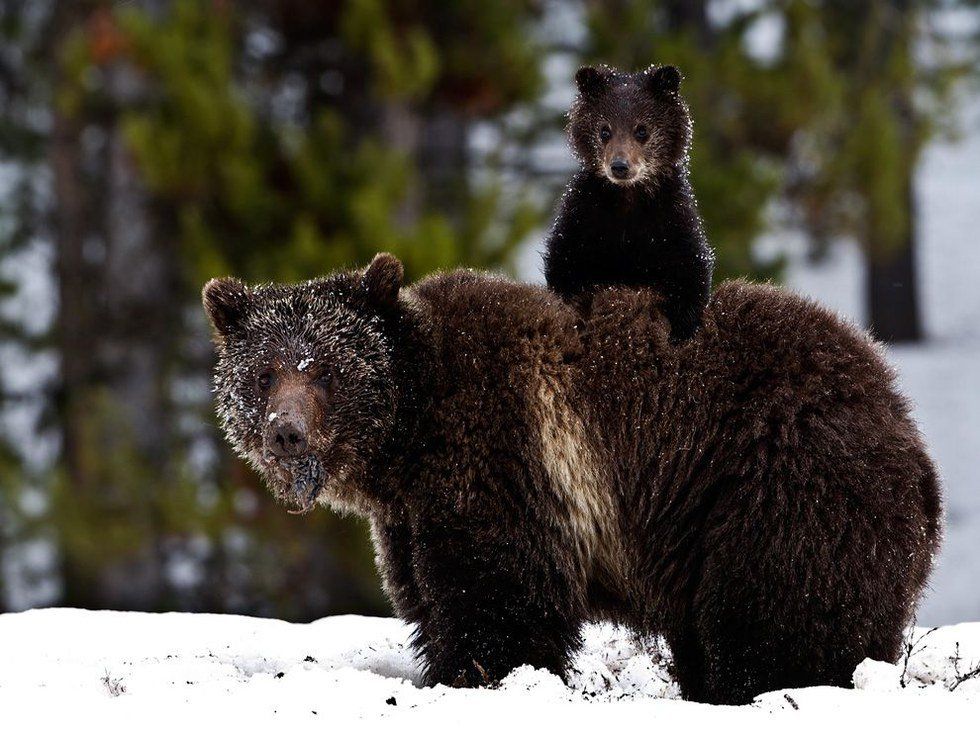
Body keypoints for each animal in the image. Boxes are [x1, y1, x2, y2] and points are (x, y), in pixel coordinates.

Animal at [203, 254, 941, 705]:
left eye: (326, 369)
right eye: (264, 372)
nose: (285, 432)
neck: (408, 440)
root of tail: (896, 405)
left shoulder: (504, 457)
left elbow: (500, 597)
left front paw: (478, 677)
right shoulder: (411, 517)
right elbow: (429, 597)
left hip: (776, 486)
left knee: (778, 611)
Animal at [543, 64, 714, 341]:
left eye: (642, 129)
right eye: (604, 130)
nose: (620, 166)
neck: (628, 199)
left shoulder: (671, 220)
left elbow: (690, 268)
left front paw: (682, 327)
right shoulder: (583, 216)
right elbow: (564, 263)